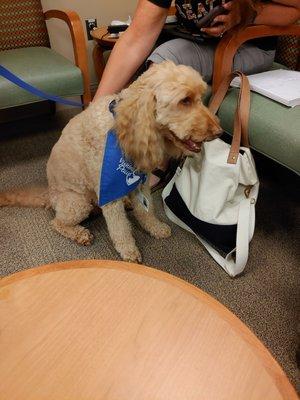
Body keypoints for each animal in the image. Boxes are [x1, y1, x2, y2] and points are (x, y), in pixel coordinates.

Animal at [0, 61, 220, 262]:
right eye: (185, 101)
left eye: (201, 97)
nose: (218, 132)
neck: (124, 126)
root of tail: (49, 195)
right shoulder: (109, 192)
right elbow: (119, 227)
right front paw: (128, 251)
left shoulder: (141, 183)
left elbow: (146, 210)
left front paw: (155, 227)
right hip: (77, 203)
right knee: (57, 223)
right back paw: (80, 233)